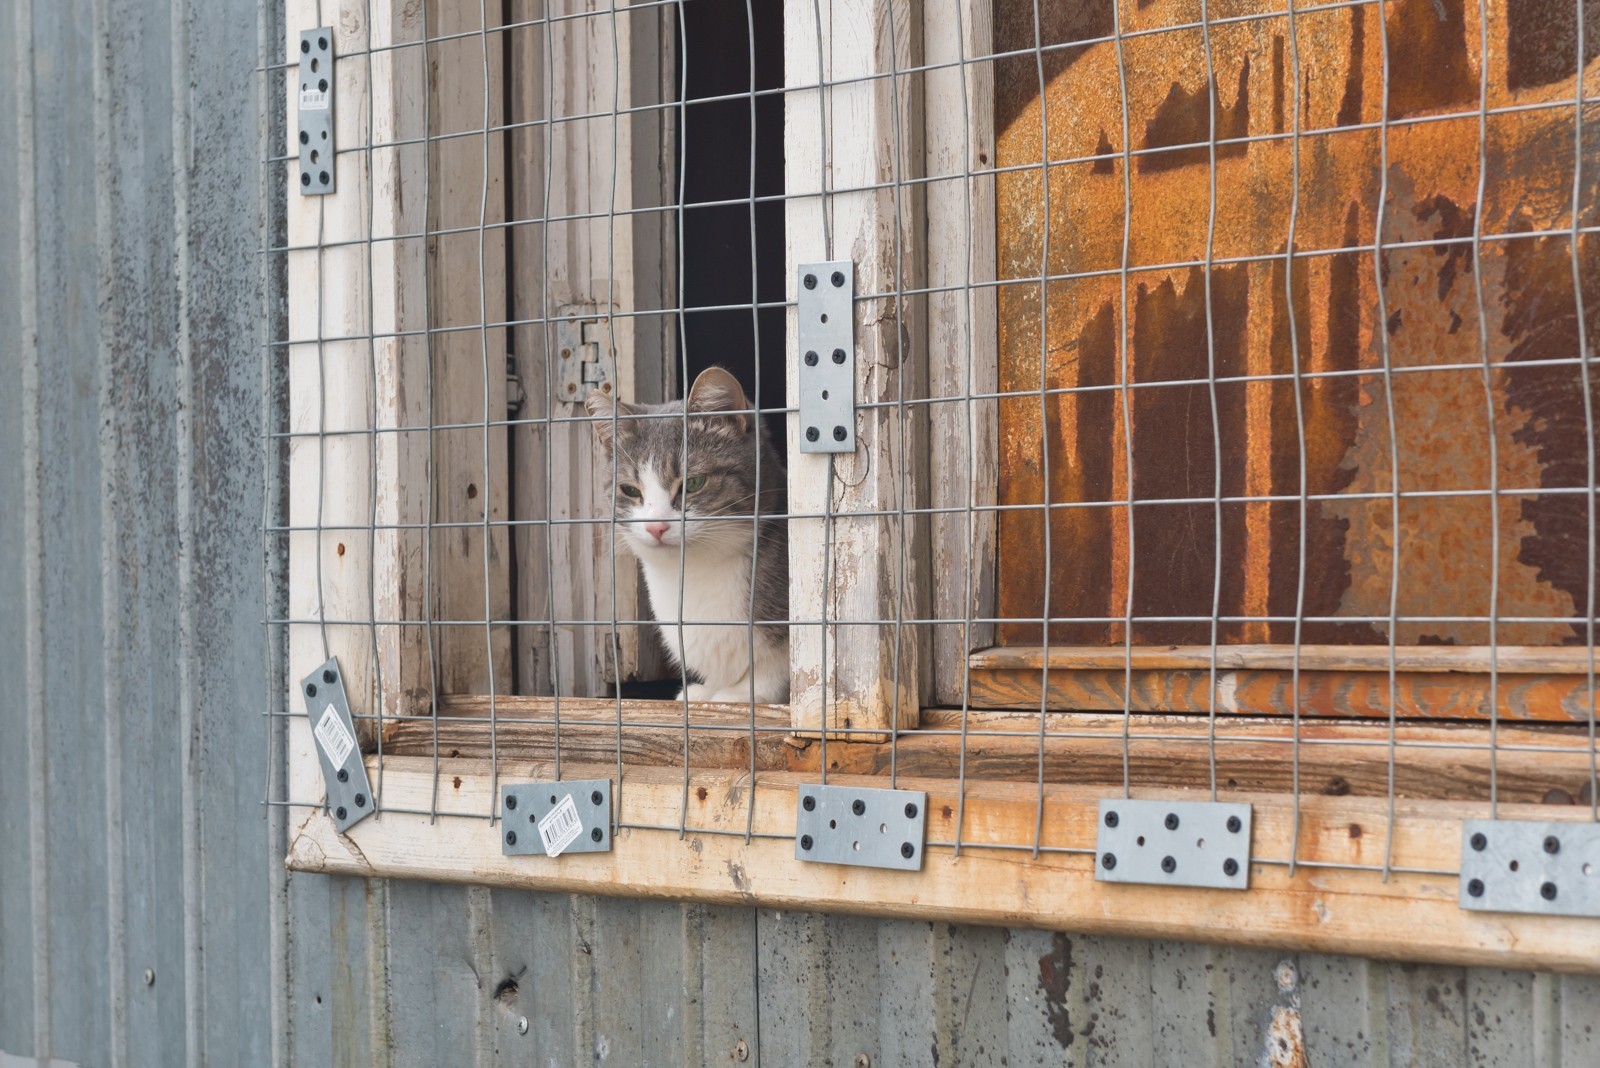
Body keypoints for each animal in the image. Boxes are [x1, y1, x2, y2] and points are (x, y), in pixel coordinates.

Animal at [585, 362, 790, 703]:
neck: (695, 571)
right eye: (630, 490)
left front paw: (743, 693)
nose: (656, 525)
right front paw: (707, 690)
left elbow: (778, 667)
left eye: (693, 483)